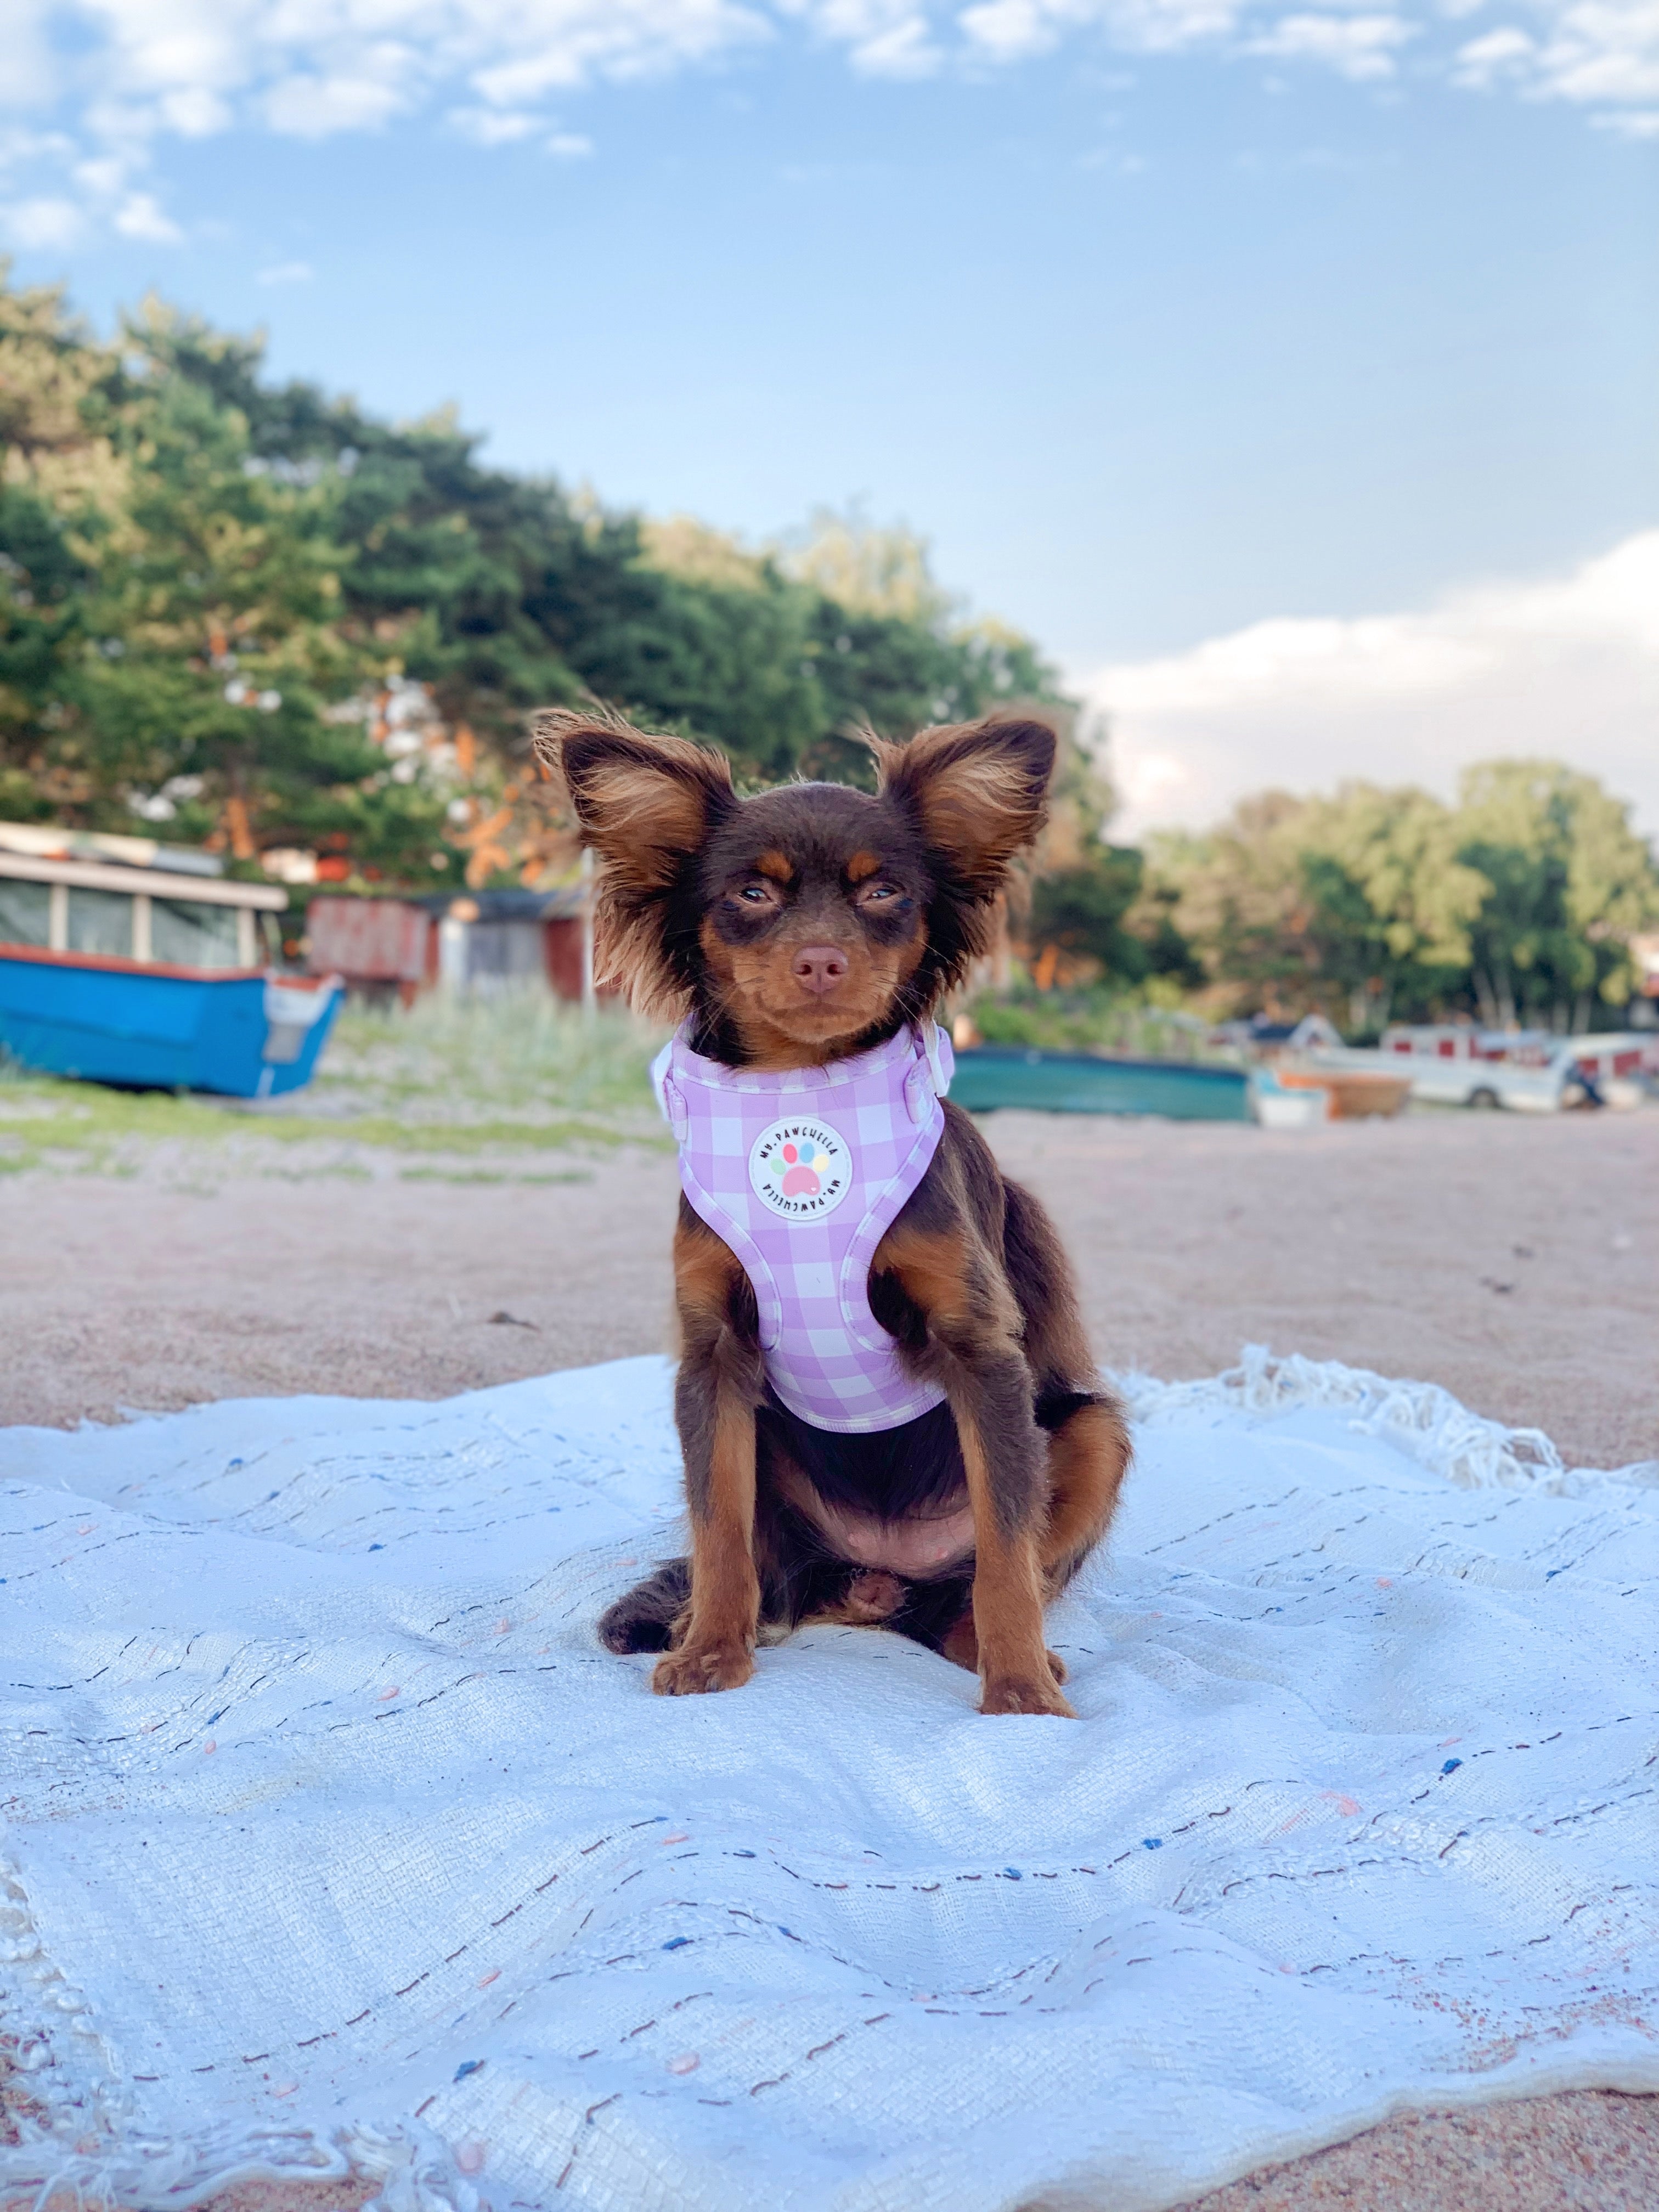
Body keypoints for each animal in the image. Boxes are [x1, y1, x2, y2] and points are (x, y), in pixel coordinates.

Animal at [534, 704, 1131, 1717]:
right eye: (751, 893)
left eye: (884, 891)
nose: (822, 959)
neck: (802, 1090)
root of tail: (878, 1578)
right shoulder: (713, 1364)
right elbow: (718, 1531)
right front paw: (712, 1651)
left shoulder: (984, 1357)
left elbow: (1008, 1553)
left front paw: (1018, 1690)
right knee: (769, 1567)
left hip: (1091, 1434)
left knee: (973, 1584)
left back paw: (992, 1647)